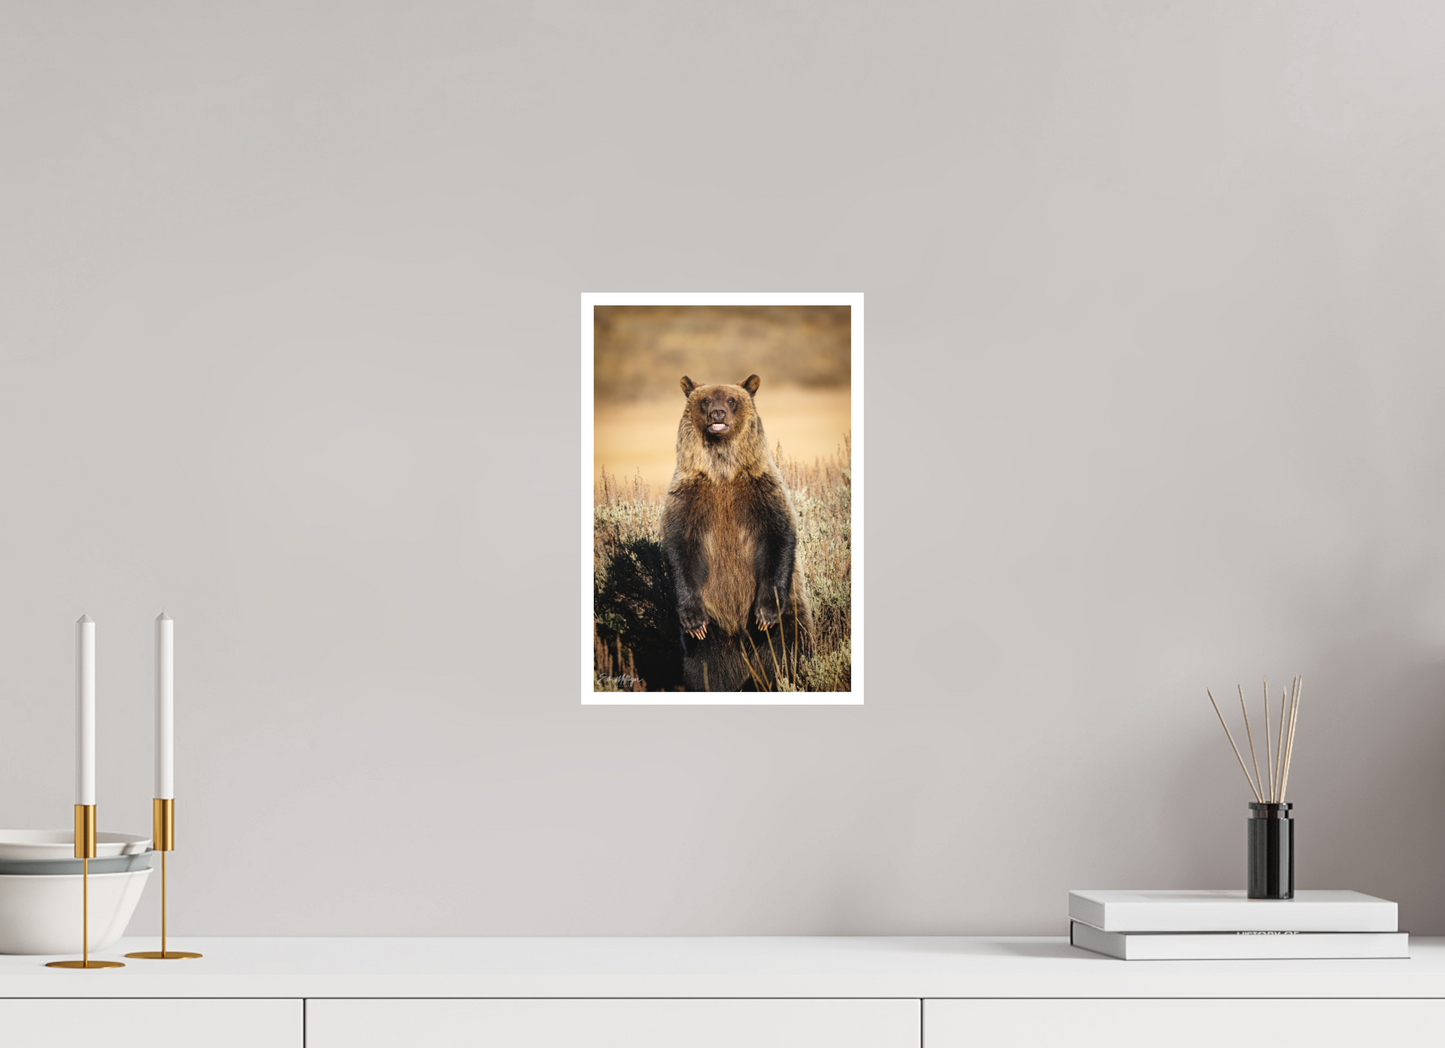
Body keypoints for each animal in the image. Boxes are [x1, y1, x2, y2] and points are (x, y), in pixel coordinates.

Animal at [661, 374, 813, 691]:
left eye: (731, 400)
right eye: (706, 400)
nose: (717, 413)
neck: (723, 470)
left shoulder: (761, 489)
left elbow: (779, 535)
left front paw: (766, 613)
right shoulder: (689, 496)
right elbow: (680, 548)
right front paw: (693, 620)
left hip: (790, 616)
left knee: (787, 652)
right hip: (714, 634)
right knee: (706, 669)